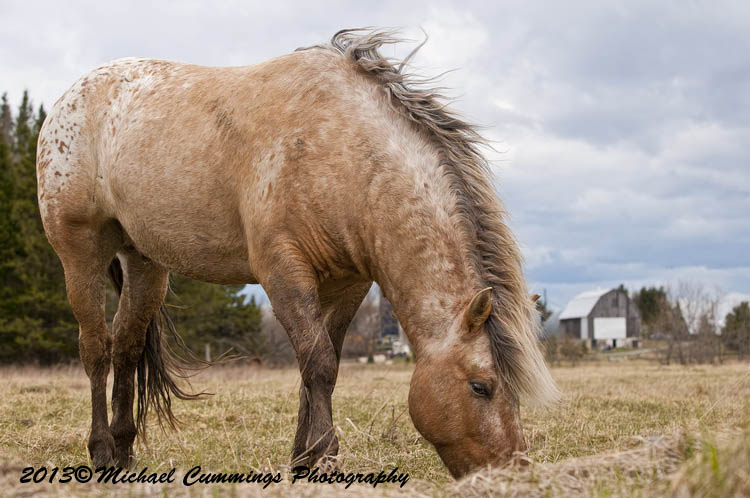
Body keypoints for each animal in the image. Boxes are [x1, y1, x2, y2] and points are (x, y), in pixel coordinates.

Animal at [36, 28, 558, 478]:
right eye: (481, 386)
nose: (513, 471)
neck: (341, 149)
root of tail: (68, 98)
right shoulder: (282, 272)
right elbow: (318, 363)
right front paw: (324, 458)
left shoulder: (348, 284)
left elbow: (324, 366)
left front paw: (303, 459)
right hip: (80, 252)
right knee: (96, 348)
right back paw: (101, 451)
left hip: (144, 263)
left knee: (125, 346)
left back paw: (125, 453)